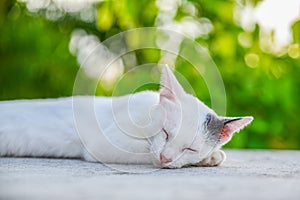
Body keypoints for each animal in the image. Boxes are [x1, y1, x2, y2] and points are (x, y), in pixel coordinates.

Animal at [0, 66, 253, 168]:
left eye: (190, 148)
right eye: (165, 132)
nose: (165, 158)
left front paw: (209, 157)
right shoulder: (103, 144)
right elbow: (144, 152)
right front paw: (210, 157)